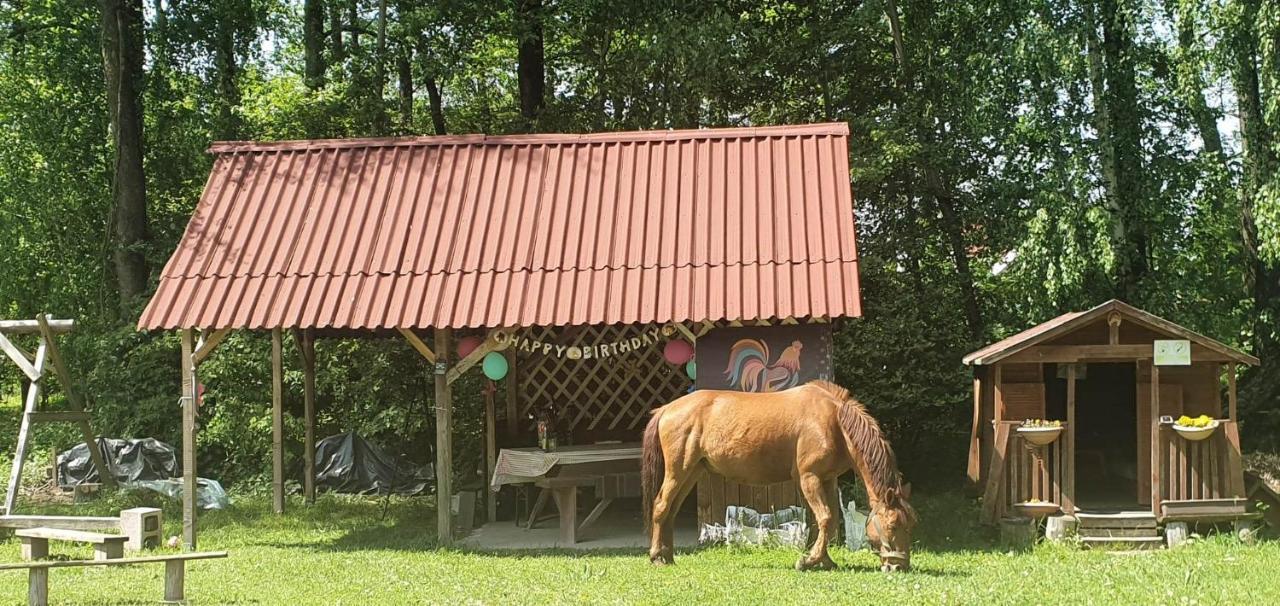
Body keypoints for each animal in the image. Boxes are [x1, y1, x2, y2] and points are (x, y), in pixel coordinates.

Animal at [645, 379, 916, 568]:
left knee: (671, 510)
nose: (899, 566)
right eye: (892, 525)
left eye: (911, 523)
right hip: (678, 471)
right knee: (660, 506)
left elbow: (828, 521)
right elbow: (826, 518)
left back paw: (668, 556)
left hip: (692, 472)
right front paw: (808, 561)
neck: (833, 422)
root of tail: (666, 408)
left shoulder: (827, 479)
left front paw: (824, 560)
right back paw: (657, 556)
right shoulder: (809, 478)